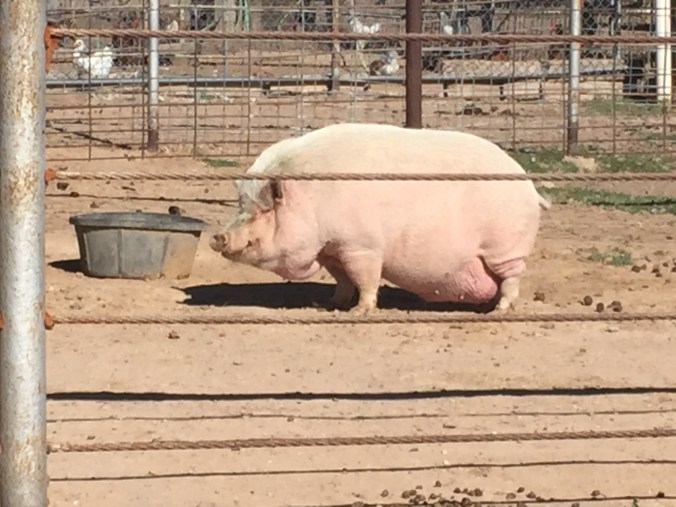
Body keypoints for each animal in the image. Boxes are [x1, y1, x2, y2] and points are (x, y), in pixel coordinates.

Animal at [210, 123, 550, 315]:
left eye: (264, 210)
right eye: (241, 205)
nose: (218, 236)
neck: (311, 197)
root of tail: (529, 185)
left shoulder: (362, 245)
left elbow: (366, 279)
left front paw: (359, 312)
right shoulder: (332, 249)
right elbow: (343, 280)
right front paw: (330, 305)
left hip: (504, 248)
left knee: (512, 278)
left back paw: (499, 311)